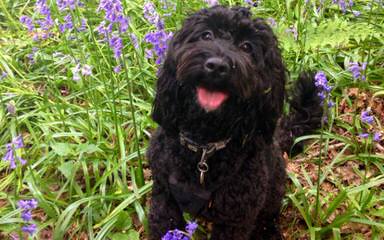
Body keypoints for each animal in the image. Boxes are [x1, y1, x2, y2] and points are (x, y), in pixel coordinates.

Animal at [147, 5, 320, 240]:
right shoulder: (164, 199)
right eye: (206, 35)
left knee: (268, 218)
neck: (204, 147)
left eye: (247, 46)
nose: (217, 66)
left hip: (272, 192)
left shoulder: (236, 217)